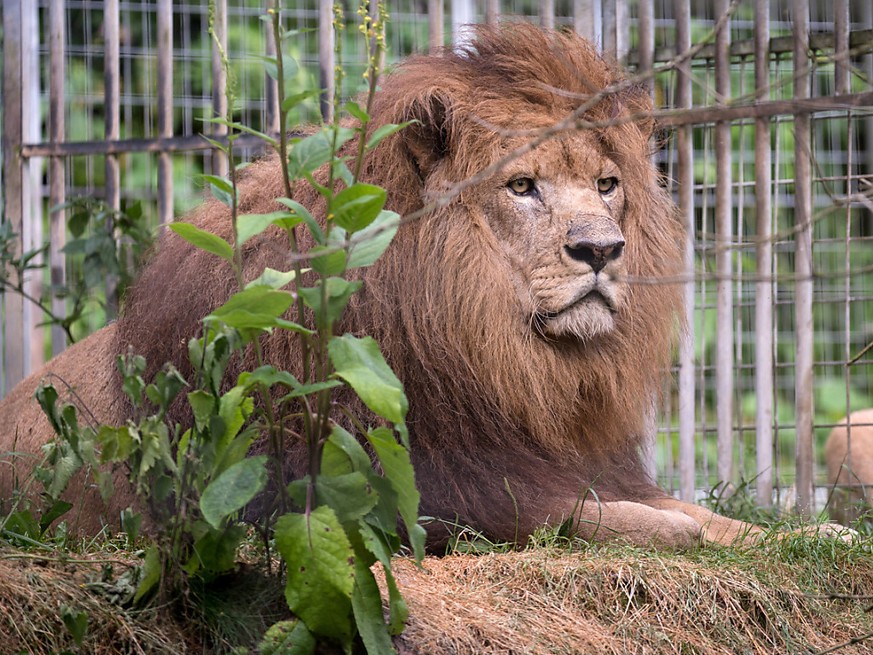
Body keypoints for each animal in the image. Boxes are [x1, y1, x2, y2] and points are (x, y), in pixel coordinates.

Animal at [3, 24, 768, 548]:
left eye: (607, 185)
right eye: (522, 186)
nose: (601, 250)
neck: (509, 361)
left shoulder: (574, 460)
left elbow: (701, 513)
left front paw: (780, 534)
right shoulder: (426, 492)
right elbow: (610, 519)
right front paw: (700, 535)